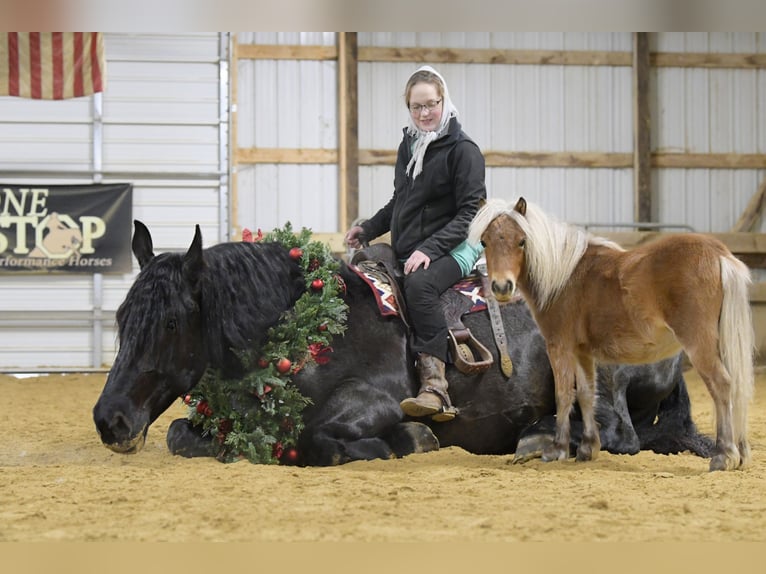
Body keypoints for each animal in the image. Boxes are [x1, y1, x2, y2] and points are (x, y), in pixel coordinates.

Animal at [468, 198, 756, 472]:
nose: (502, 287)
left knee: (722, 385)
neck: (564, 277)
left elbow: (564, 395)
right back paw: (739, 455)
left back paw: (724, 456)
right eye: (484, 241)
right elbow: (586, 394)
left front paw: (557, 450)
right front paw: (587, 449)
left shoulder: (559, 346)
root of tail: (719, 255)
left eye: (522, 241)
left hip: (699, 345)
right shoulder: (582, 352)